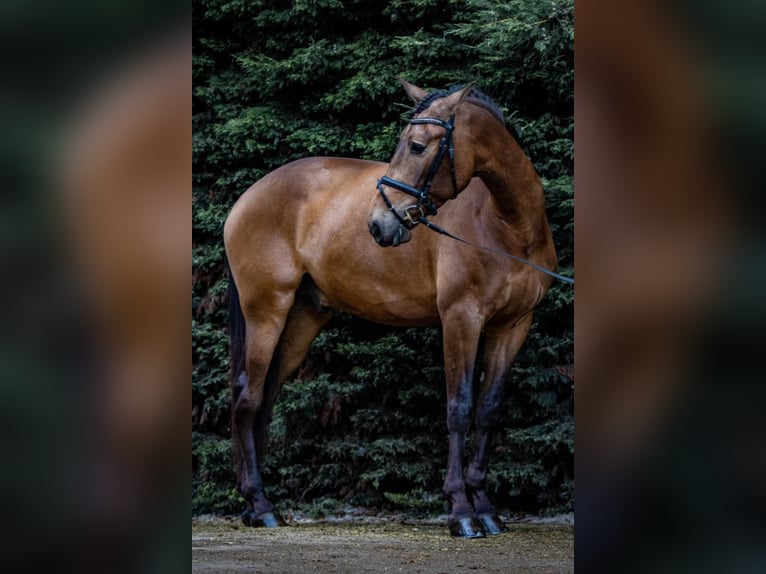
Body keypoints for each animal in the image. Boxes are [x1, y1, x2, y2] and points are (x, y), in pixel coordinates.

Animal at [224, 80, 560, 540]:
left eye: (417, 146)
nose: (379, 225)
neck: (505, 224)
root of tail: (246, 198)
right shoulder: (461, 319)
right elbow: (459, 408)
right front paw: (461, 511)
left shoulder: (513, 326)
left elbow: (488, 411)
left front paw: (487, 509)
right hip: (266, 312)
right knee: (248, 397)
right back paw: (261, 505)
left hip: (302, 319)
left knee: (265, 396)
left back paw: (255, 504)